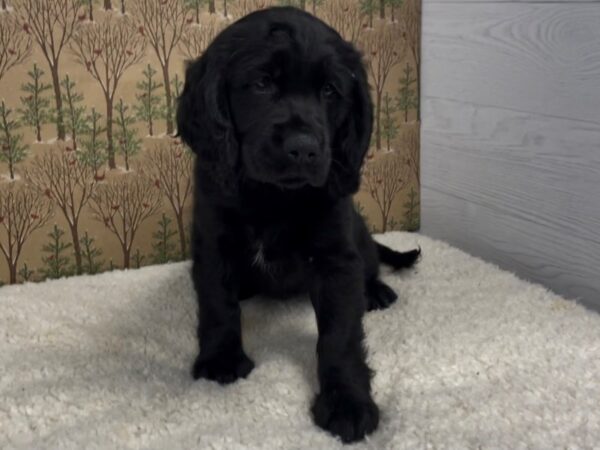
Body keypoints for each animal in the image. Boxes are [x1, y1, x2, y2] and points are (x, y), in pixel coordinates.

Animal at [176, 7, 420, 442]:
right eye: (261, 83)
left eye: (330, 91)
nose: (304, 149)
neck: (274, 196)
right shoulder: (213, 240)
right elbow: (217, 302)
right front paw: (221, 358)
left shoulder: (336, 256)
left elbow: (340, 334)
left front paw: (347, 402)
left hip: (359, 235)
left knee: (370, 264)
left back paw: (375, 291)